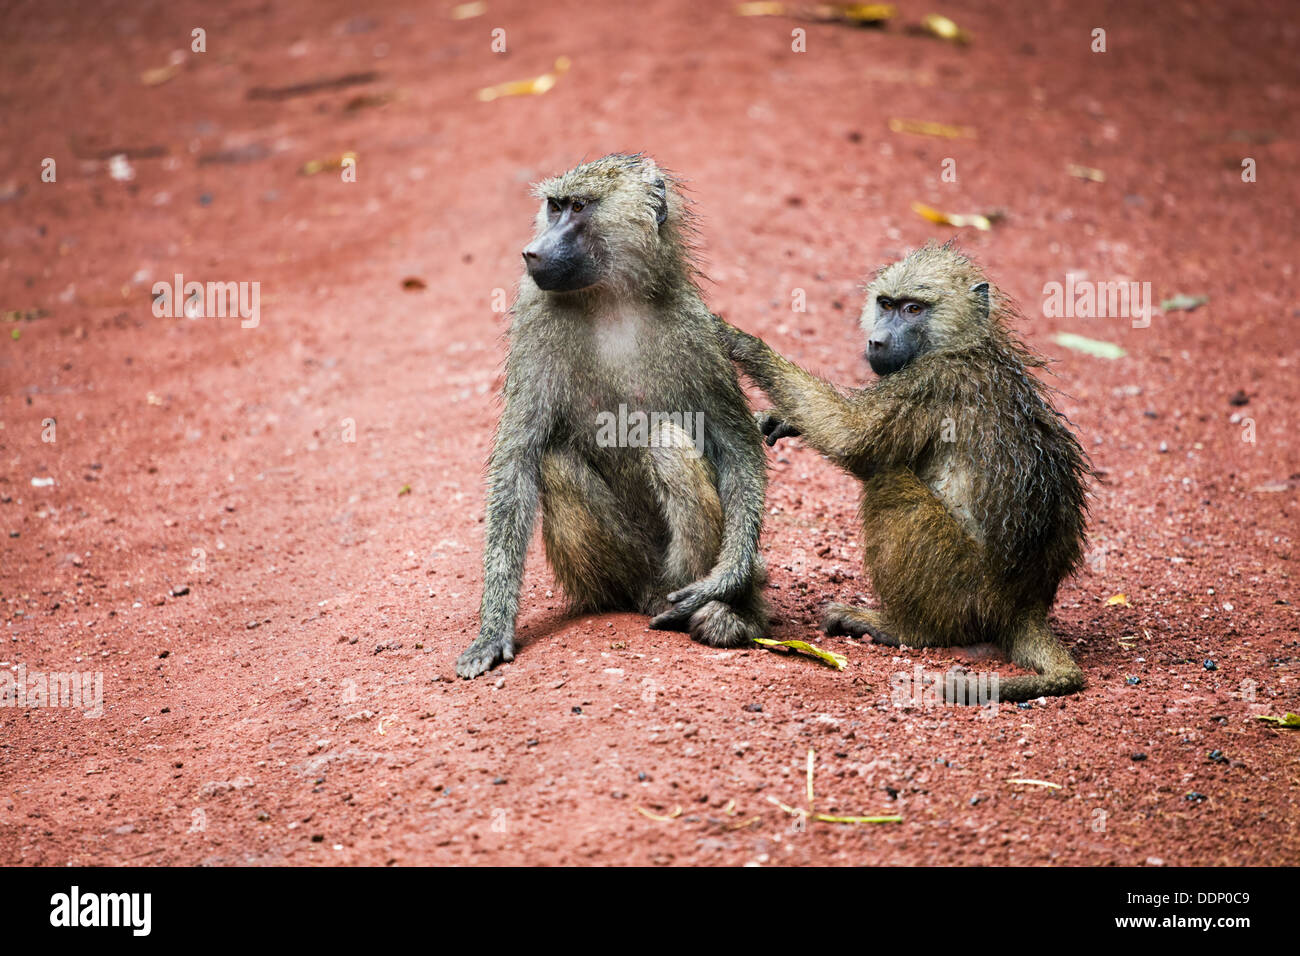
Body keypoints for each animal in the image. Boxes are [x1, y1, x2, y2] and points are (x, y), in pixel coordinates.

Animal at [455, 154, 769, 679]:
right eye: (554, 206)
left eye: (579, 207)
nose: (531, 252)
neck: (612, 298)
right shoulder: (534, 318)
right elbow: (519, 460)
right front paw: (493, 629)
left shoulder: (700, 329)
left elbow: (738, 450)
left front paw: (724, 581)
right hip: (620, 573)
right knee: (556, 461)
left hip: (675, 570)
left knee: (665, 444)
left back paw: (719, 612)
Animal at [720, 241, 1092, 703]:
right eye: (887, 304)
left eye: (914, 309)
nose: (877, 340)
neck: (964, 343)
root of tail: (1026, 603)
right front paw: (783, 418)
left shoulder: (931, 382)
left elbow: (852, 440)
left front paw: (737, 341)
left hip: (967, 590)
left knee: (889, 484)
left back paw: (901, 628)